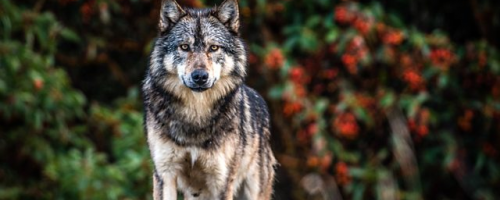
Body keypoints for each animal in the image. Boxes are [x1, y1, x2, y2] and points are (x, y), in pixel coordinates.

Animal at [142, 0, 278, 199]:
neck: (195, 114)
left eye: (213, 48)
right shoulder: (164, 173)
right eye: (184, 47)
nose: (200, 76)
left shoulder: (222, 180)